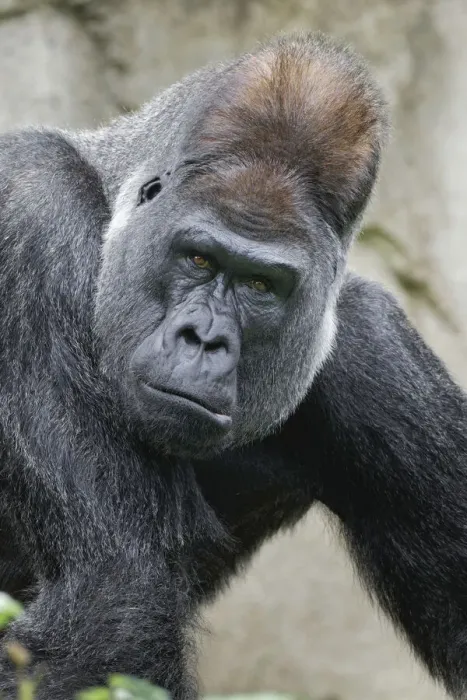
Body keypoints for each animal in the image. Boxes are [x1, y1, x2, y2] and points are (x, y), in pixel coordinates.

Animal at [0, 30, 465, 700]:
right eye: (198, 258)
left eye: (261, 286)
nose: (203, 339)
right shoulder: (32, 213)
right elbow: (114, 590)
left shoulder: (378, 356)